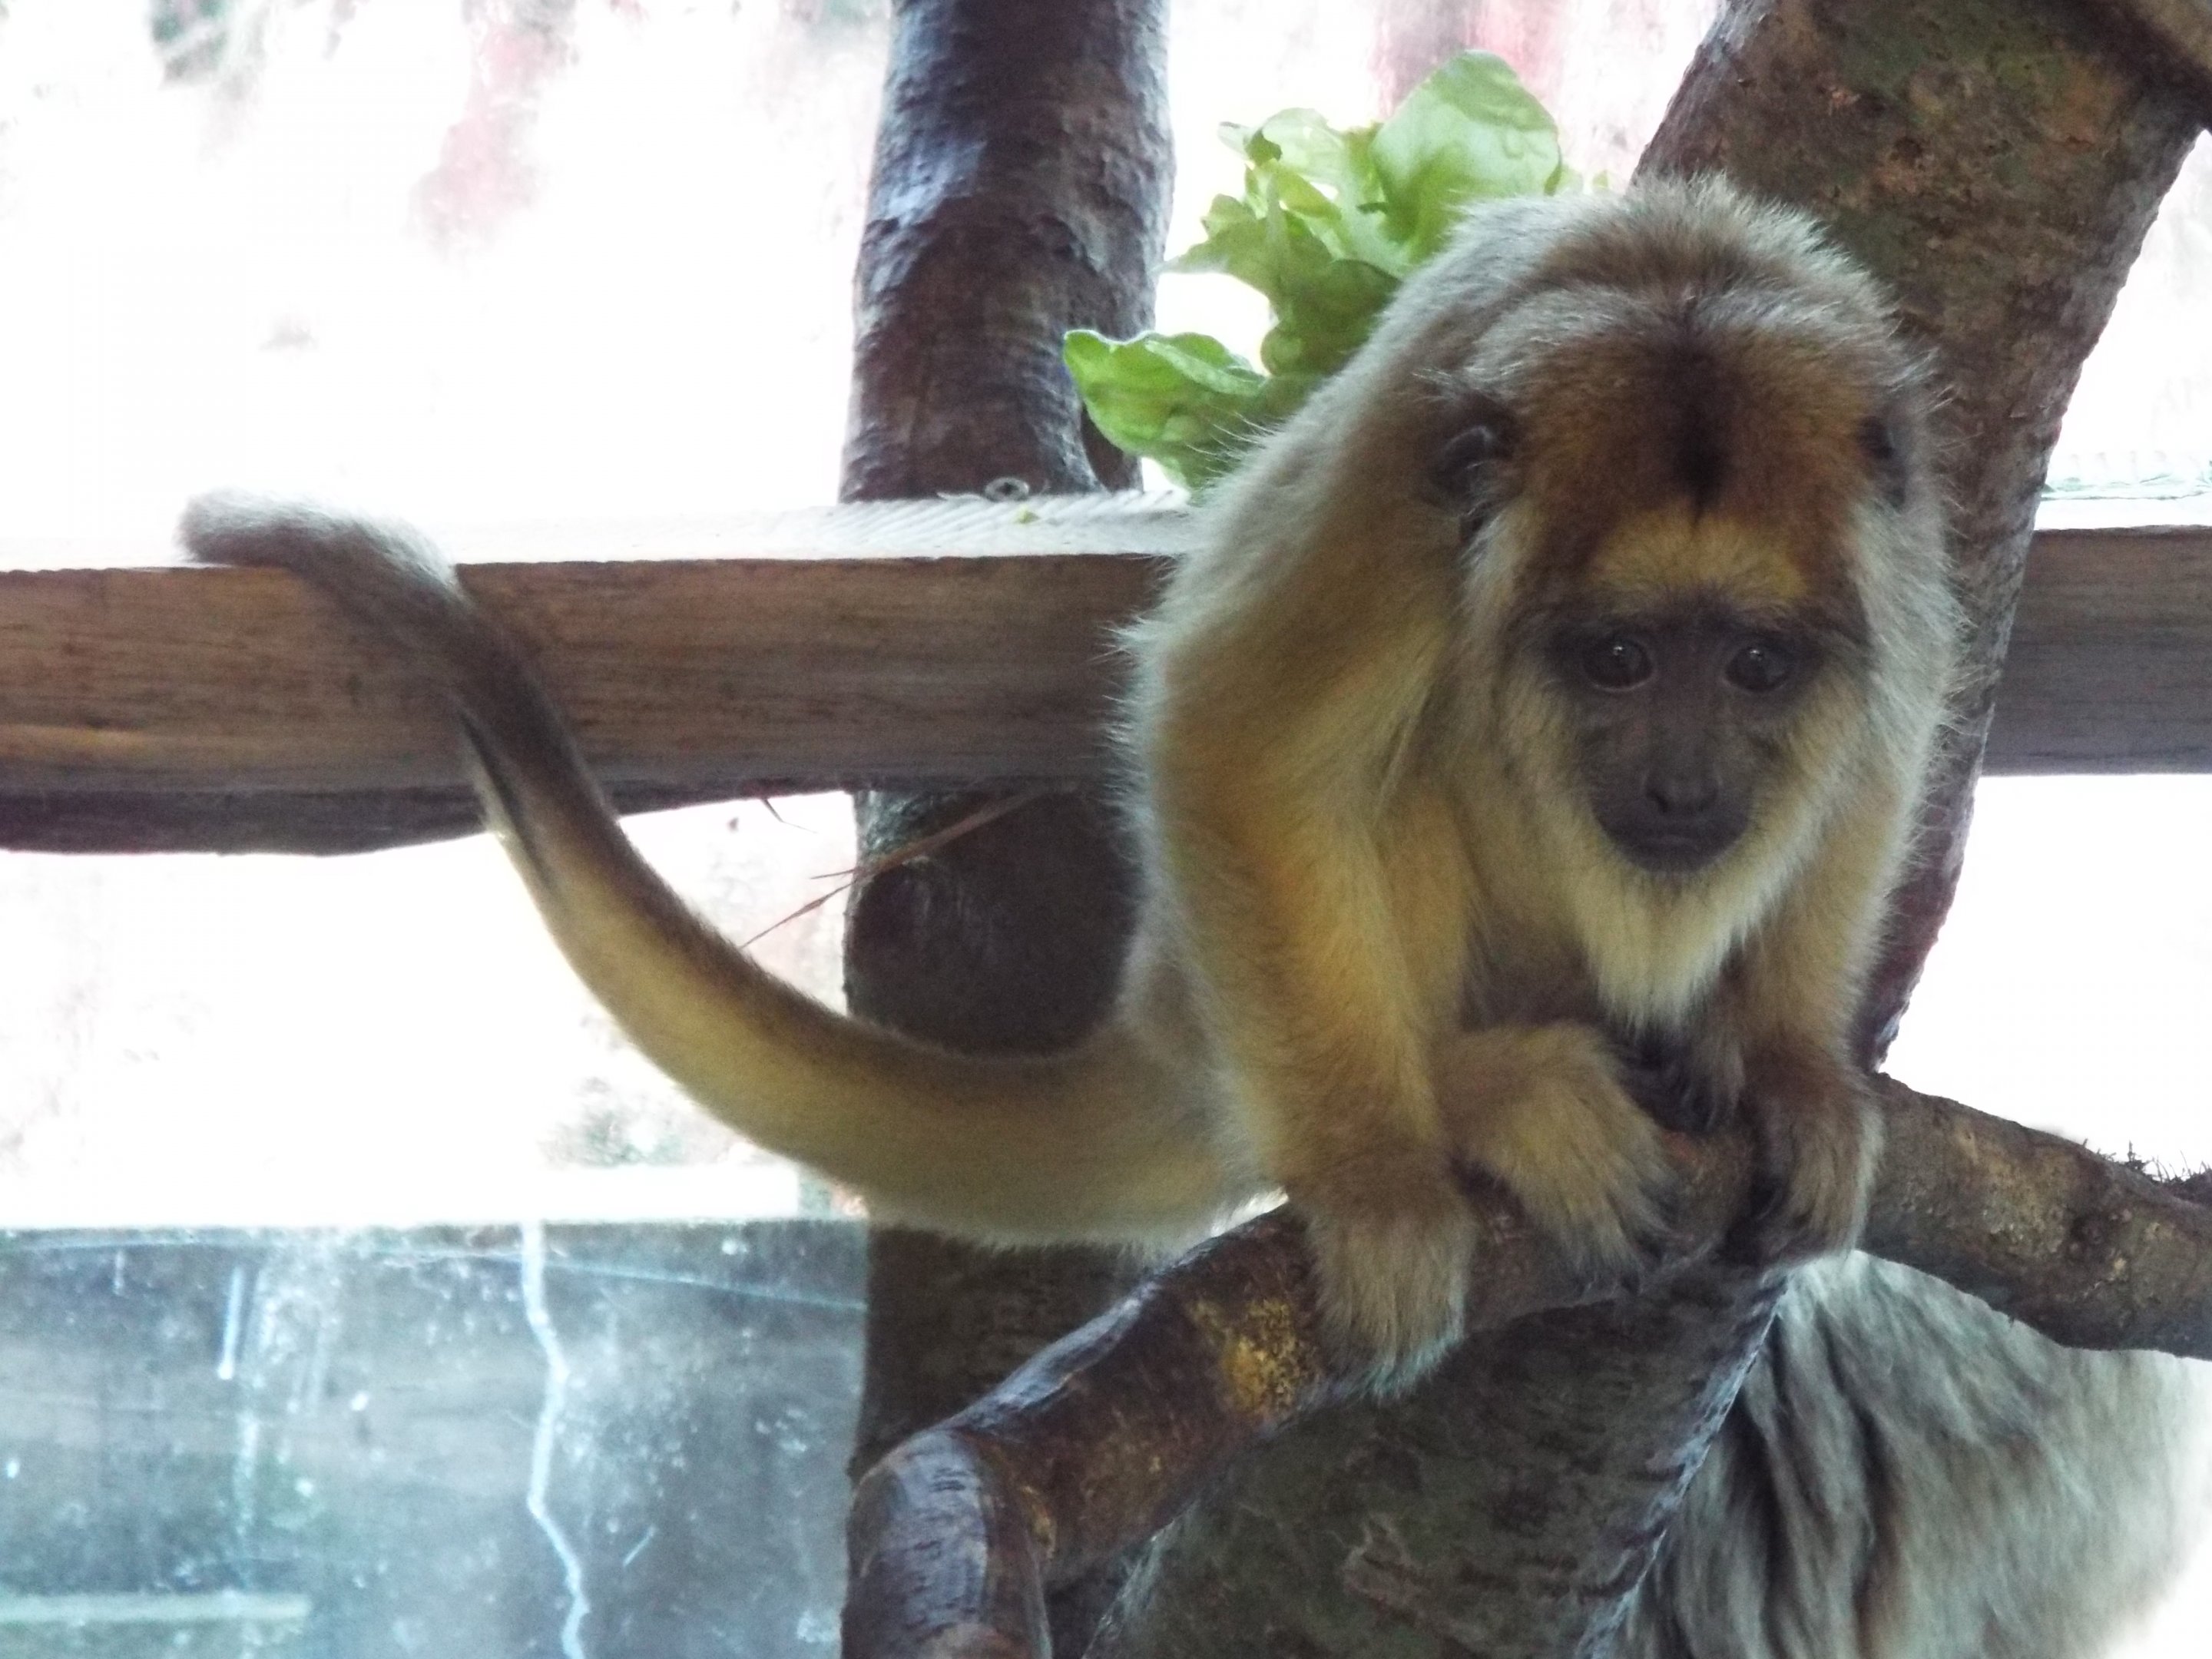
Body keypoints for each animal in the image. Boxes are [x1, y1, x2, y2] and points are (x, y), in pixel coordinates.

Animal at [181, 178, 1958, 1387]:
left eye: (1754, 669)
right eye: (1616, 664)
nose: (1683, 785)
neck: (1679, 289)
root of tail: (1164, 1016)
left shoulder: (1908, 534)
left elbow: (1886, 754)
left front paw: (1790, 1065)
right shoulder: (1404, 488)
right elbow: (1236, 735)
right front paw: (1383, 1176)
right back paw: (1478, 1091)